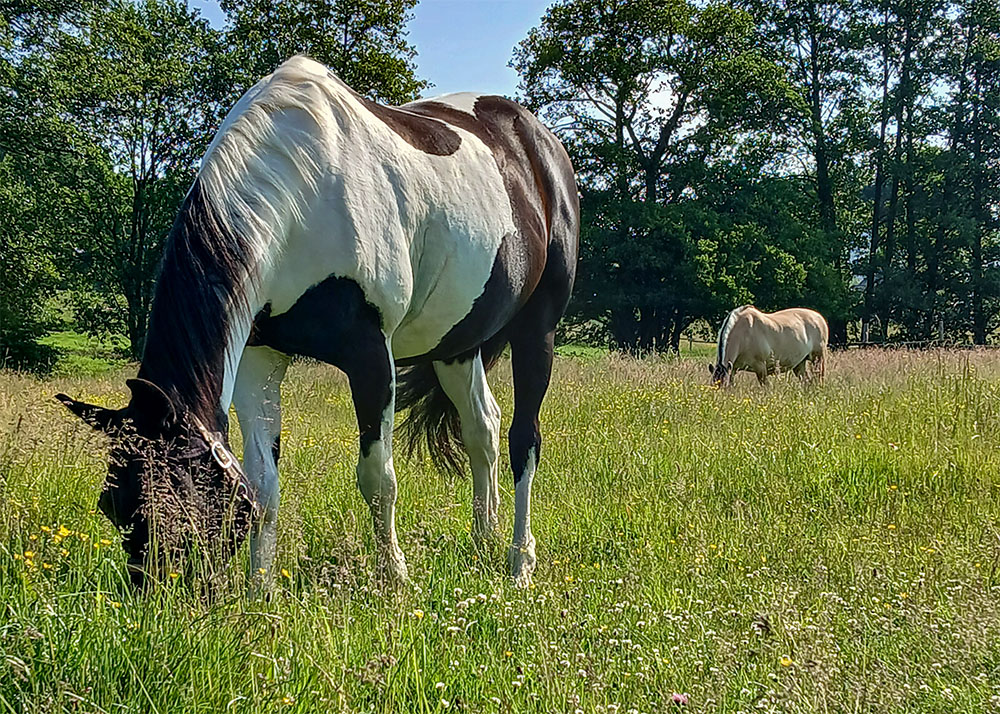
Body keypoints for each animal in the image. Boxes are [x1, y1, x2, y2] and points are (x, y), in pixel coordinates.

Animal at [56, 56, 579, 588]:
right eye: (111, 506)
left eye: (170, 499)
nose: (159, 600)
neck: (298, 191)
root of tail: (538, 139)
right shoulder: (258, 359)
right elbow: (263, 485)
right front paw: (260, 592)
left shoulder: (371, 358)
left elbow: (378, 478)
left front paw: (395, 579)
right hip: (457, 342)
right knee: (482, 428)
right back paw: (484, 541)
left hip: (538, 329)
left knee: (522, 439)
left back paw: (519, 563)